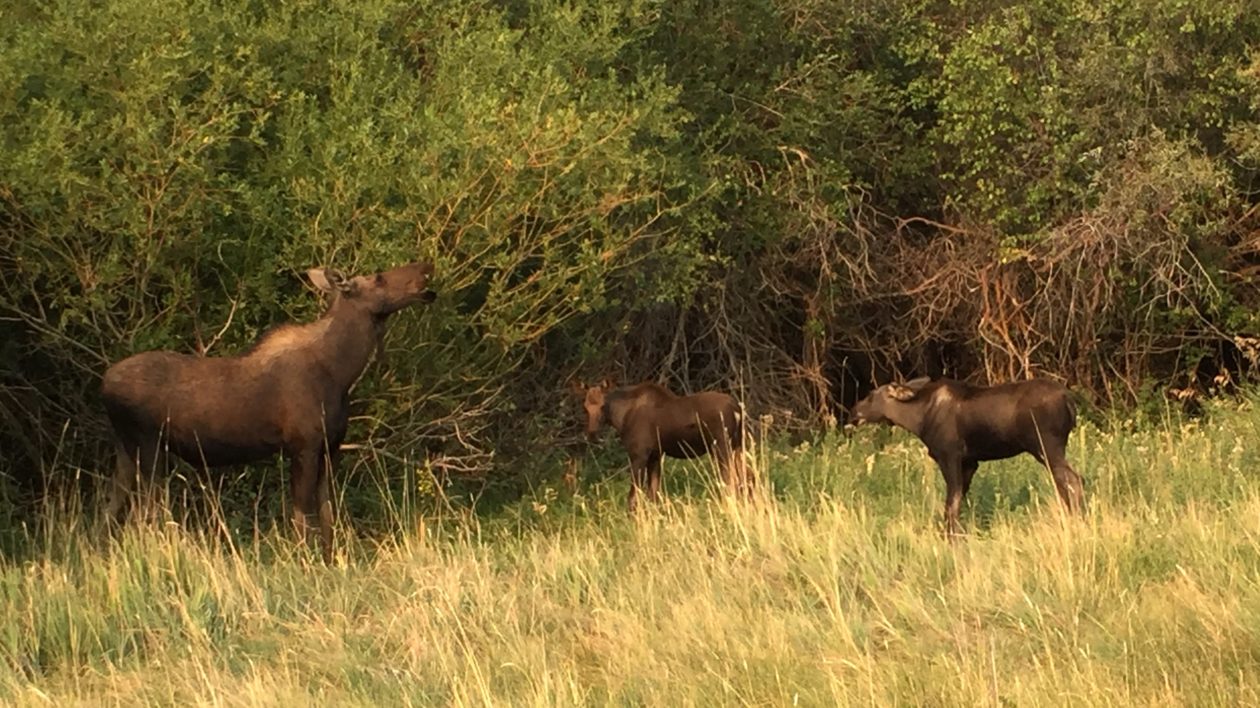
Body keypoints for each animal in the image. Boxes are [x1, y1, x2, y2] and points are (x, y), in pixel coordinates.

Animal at [572, 380, 745, 506]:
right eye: (585, 407)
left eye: (603, 406)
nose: (592, 434)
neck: (621, 418)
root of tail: (737, 408)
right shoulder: (655, 455)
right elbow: (653, 494)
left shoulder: (639, 454)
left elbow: (633, 497)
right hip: (738, 446)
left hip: (722, 447)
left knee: (731, 480)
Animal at [851, 377, 1088, 531]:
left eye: (870, 395)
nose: (853, 411)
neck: (918, 420)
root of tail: (1069, 400)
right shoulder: (970, 462)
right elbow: (959, 500)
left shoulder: (949, 455)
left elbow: (952, 502)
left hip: (1047, 446)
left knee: (1073, 479)